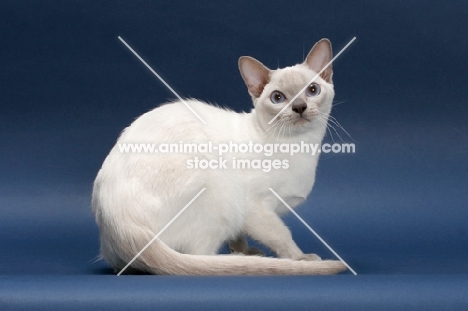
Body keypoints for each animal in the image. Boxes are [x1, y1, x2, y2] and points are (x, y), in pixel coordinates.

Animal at [92, 39, 348, 276]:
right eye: (278, 98)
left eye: (312, 90)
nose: (299, 107)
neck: (301, 145)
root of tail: (121, 225)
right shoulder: (255, 208)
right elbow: (282, 235)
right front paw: (300, 258)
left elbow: (239, 236)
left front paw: (243, 250)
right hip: (222, 193)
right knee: (199, 257)